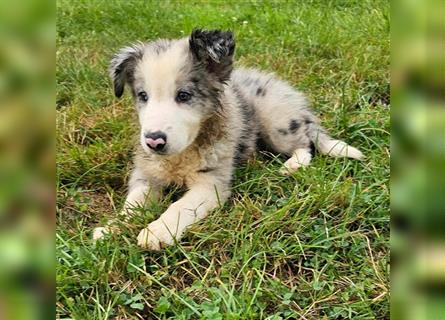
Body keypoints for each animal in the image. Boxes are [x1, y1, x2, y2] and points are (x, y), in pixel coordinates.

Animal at [92, 29, 362, 250]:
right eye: (143, 96)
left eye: (184, 95)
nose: (154, 141)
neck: (181, 155)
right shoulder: (146, 175)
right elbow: (133, 203)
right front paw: (111, 228)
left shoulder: (211, 184)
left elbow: (180, 206)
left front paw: (157, 231)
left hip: (277, 122)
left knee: (305, 143)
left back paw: (292, 165)